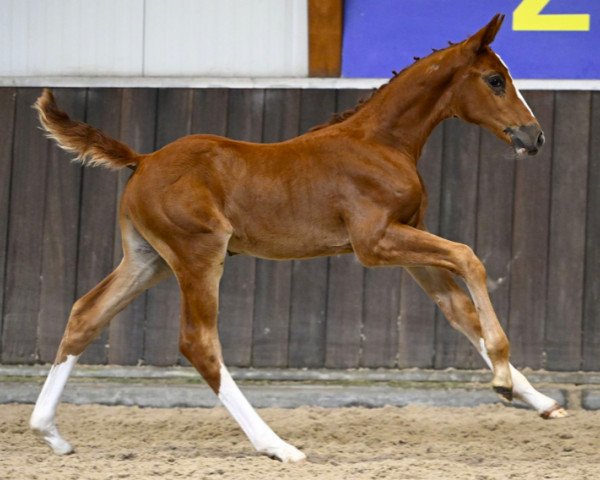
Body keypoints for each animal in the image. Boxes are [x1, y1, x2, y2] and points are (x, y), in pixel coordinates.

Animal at [30, 16, 564, 464]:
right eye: (495, 80)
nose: (534, 137)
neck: (381, 143)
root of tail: (141, 160)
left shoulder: (407, 245)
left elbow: (460, 312)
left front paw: (540, 401)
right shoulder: (375, 243)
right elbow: (469, 258)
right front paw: (501, 379)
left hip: (148, 259)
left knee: (86, 314)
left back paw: (49, 432)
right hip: (198, 255)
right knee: (199, 342)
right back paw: (278, 446)